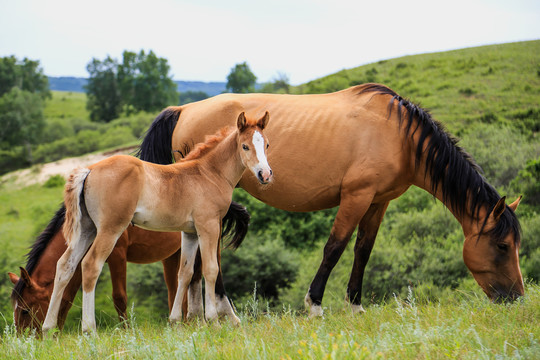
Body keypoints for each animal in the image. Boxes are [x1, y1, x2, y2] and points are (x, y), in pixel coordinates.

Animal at [8, 200, 249, 332]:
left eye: (25, 310)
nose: (26, 340)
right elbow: (66, 298)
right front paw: (57, 332)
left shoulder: (117, 255)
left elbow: (119, 298)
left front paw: (125, 331)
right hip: (175, 254)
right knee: (180, 288)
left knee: (209, 276)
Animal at [42, 111, 272, 334]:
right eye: (245, 146)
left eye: (267, 144)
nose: (265, 174)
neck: (208, 173)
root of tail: (89, 170)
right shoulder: (208, 227)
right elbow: (210, 269)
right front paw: (213, 322)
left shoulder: (189, 233)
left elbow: (185, 273)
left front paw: (175, 321)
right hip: (110, 229)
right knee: (90, 265)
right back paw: (89, 329)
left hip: (87, 229)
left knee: (65, 266)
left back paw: (48, 329)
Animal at [138, 83, 524, 316]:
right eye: (503, 246)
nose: (517, 297)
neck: (398, 134)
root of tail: (183, 108)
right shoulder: (356, 196)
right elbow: (335, 247)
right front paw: (315, 305)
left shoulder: (378, 201)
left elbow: (363, 250)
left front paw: (355, 305)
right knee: (208, 255)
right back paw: (217, 310)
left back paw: (197, 315)